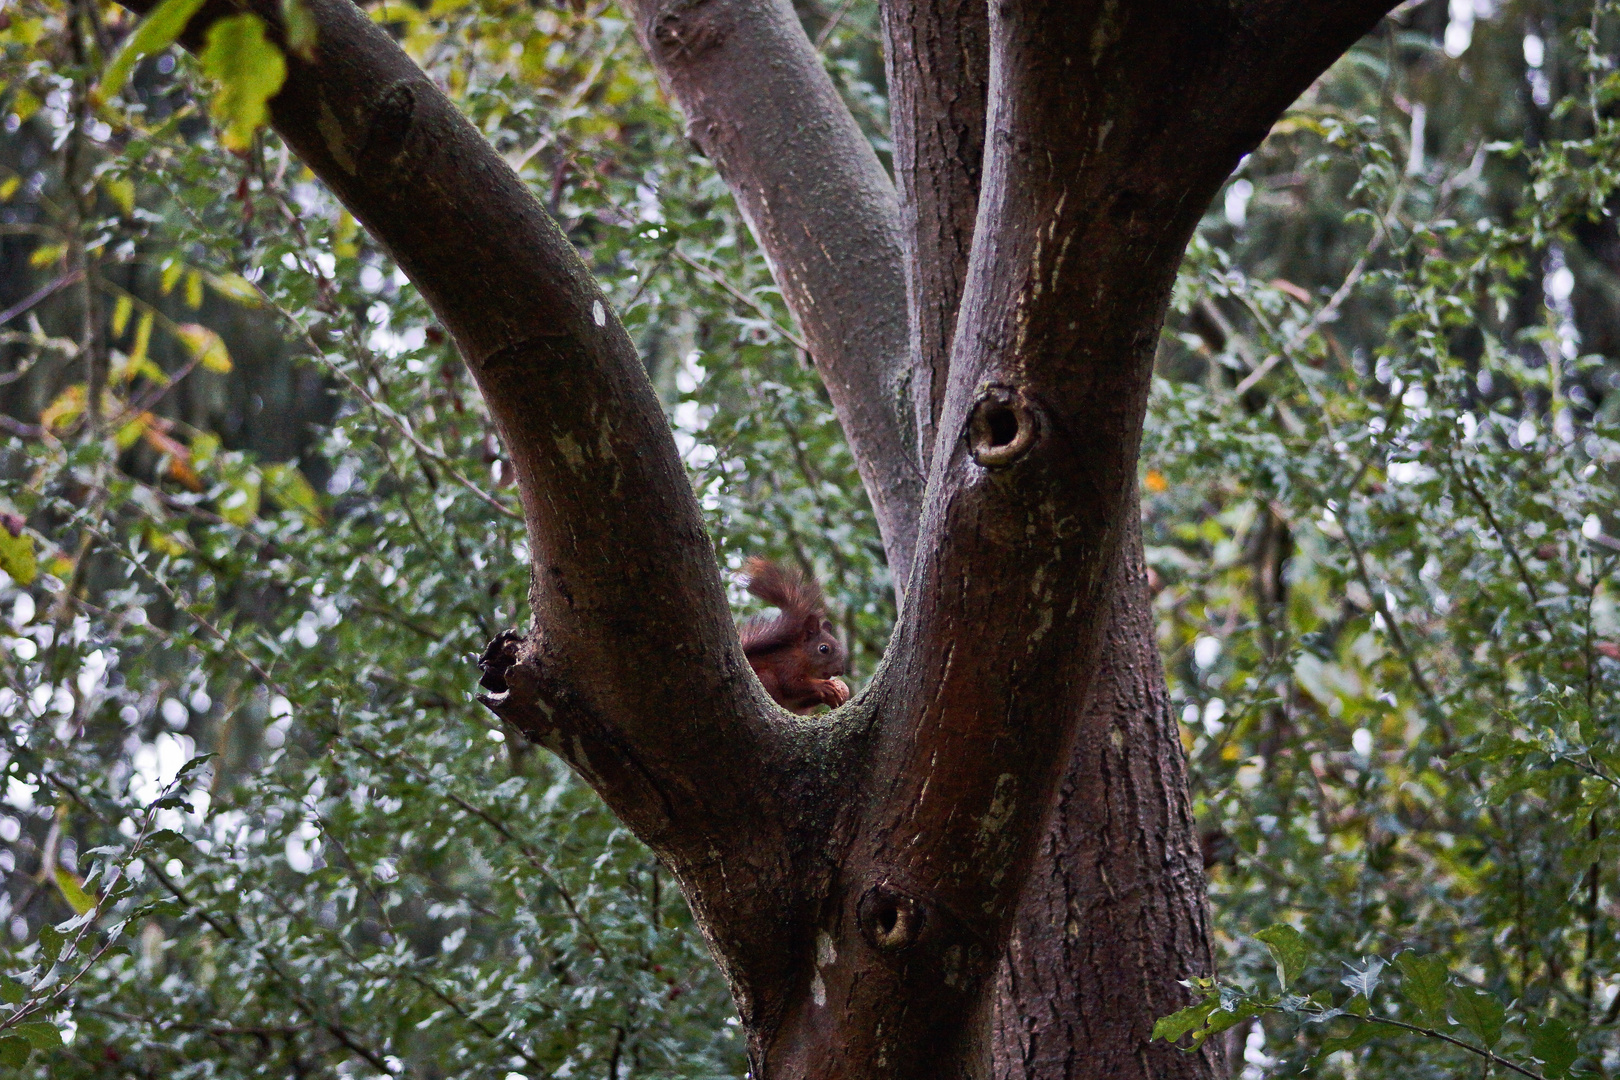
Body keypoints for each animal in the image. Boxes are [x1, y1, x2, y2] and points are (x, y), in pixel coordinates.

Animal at [741, 557, 855, 718]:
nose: (840, 671)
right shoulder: (787, 664)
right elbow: (791, 683)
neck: (803, 657)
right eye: (823, 648)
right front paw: (822, 685)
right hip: (767, 677)